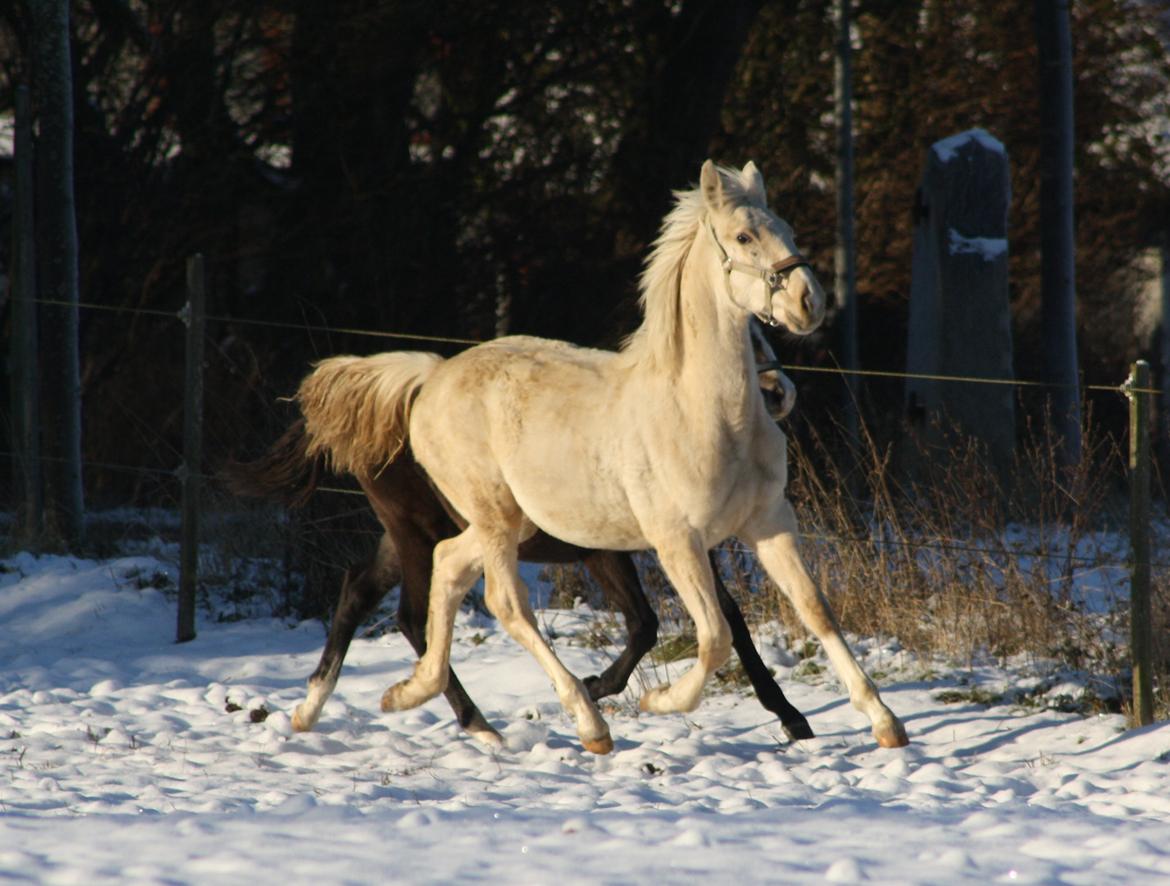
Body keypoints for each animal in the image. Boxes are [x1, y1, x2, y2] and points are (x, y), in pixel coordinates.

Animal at [299, 160, 903, 753]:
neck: (703, 412)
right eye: (743, 236)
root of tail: (431, 377)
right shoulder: (676, 541)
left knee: (444, 568)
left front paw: (884, 722)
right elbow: (715, 635)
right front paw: (659, 702)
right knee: (504, 602)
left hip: (508, 524)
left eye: (788, 230)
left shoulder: (768, 523)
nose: (809, 303)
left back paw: (405, 695)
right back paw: (587, 723)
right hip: (490, 521)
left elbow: (815, 610)